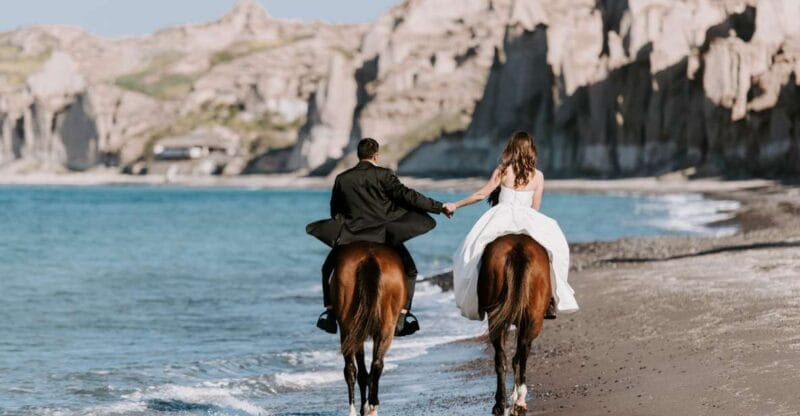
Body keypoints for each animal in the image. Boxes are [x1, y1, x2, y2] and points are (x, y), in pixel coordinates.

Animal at [331, 242, 407, 416]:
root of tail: (369, 257)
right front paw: (366, 406)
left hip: (350, 328)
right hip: (385, 329)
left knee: (353, 369)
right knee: (375, 364)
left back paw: (355, 409)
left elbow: (361, 372)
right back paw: (371, 406)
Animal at [478, 234, 552, 416]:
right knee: (522, 353)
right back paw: (519, 400)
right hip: (534, 319)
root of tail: (518, 250)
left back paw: (500, 403)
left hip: (496, 318)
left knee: (500, 357)